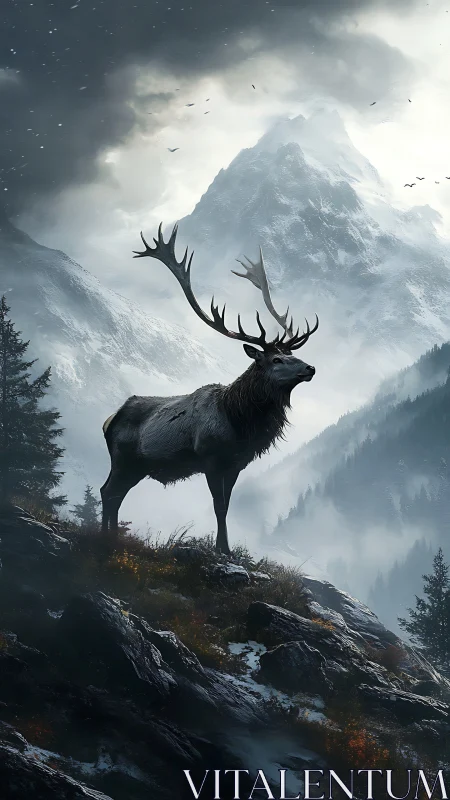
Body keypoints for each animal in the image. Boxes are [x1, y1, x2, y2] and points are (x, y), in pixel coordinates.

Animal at [100, 223, 318, 555]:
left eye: (292, 354)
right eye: (276, 359)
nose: (310, 368)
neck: (240, 420)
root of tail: (109, 419)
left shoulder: (238, 463)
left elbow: (226, 505)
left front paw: (225, 547)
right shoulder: (212, 459)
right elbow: (219, 506)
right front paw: (222, 549)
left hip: (136, 465)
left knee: (113, 494)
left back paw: (111, 537)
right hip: (124, 458)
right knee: (108, 492)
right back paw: (103, 537)